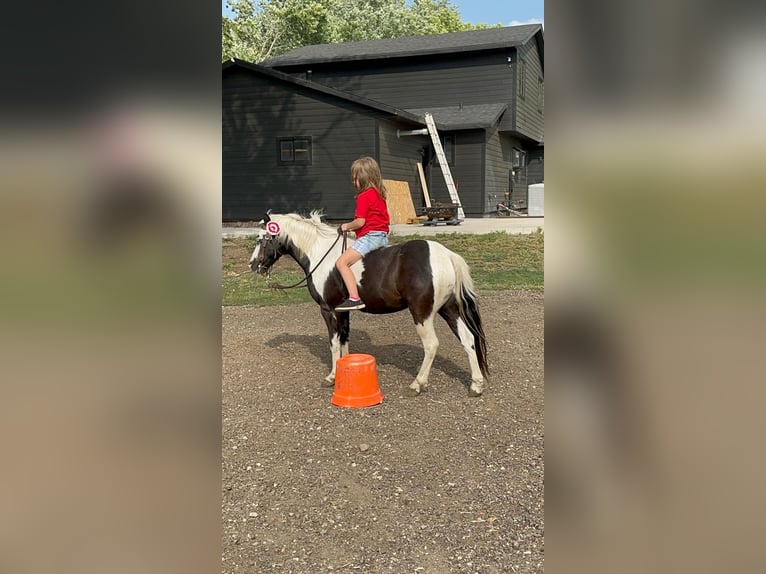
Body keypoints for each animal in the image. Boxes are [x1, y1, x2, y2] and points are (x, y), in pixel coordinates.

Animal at [249, 211, 489, 396]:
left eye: (262, 238)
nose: (253, 265)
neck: (321, 255)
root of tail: (446, 255)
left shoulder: (328, 310)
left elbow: (333, 343)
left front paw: (332, 377)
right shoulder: (343, 311)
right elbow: (344, 341)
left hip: (422, 314)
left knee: (431, 345)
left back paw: (417, 384)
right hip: (449, 310)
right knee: (468, 339)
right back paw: (476, 385)